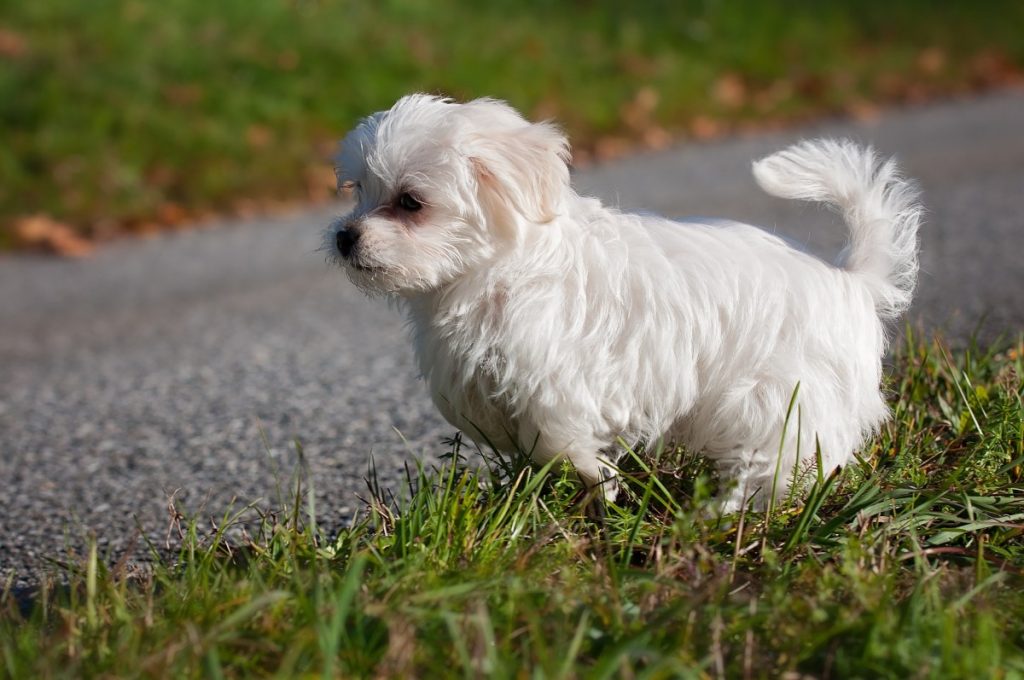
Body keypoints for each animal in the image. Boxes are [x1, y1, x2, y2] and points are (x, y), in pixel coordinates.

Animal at [325, 94, 921, 510]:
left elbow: (561, 442)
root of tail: (849, 278)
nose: (344, 237)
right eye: (358, 192)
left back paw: (725, 513)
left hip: (779, 396)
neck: (496, 271)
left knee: (785, 462)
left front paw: (600, 485)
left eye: (411, 202)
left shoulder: (555, 383)